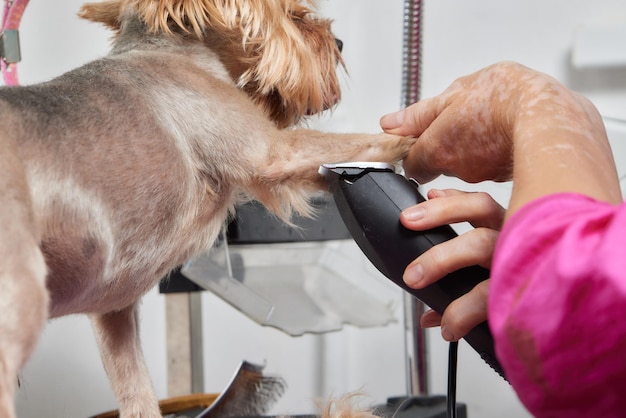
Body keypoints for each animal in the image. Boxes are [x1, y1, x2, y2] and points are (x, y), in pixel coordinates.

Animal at [1, 1, 414, 416]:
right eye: (295, 16)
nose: (340, 43)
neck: (175, 49)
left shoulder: (113, 309)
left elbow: (135, 387)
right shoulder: (273, 151)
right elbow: (358, 141)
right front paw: (414, 134)